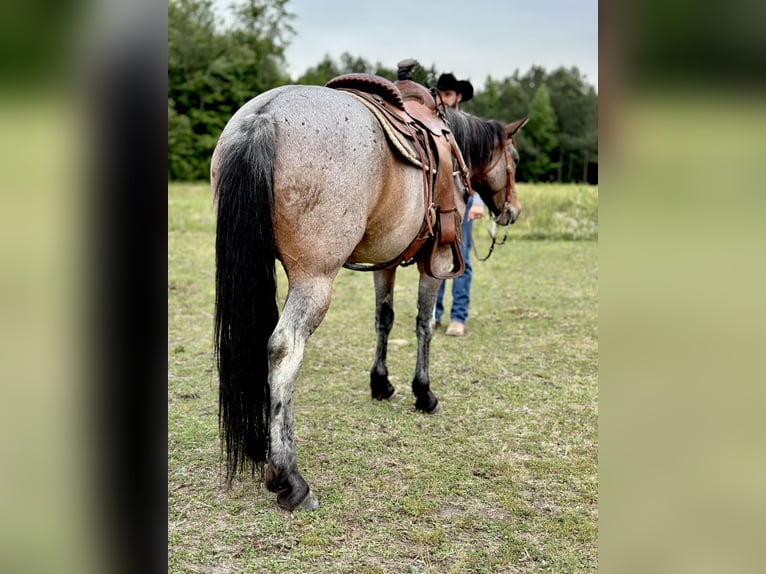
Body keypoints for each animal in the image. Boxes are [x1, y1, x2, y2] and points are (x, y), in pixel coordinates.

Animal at [211, 82, 527, 511]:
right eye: (514, 159)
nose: (512, 210)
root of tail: (265, 116)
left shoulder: (385, 263)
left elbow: (384, 319)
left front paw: (381, 383)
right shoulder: (437, 262)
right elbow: (424, 323)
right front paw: (423, 392)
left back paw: (260, 444)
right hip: (314, 280)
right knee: (283, 347)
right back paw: (289, 476)